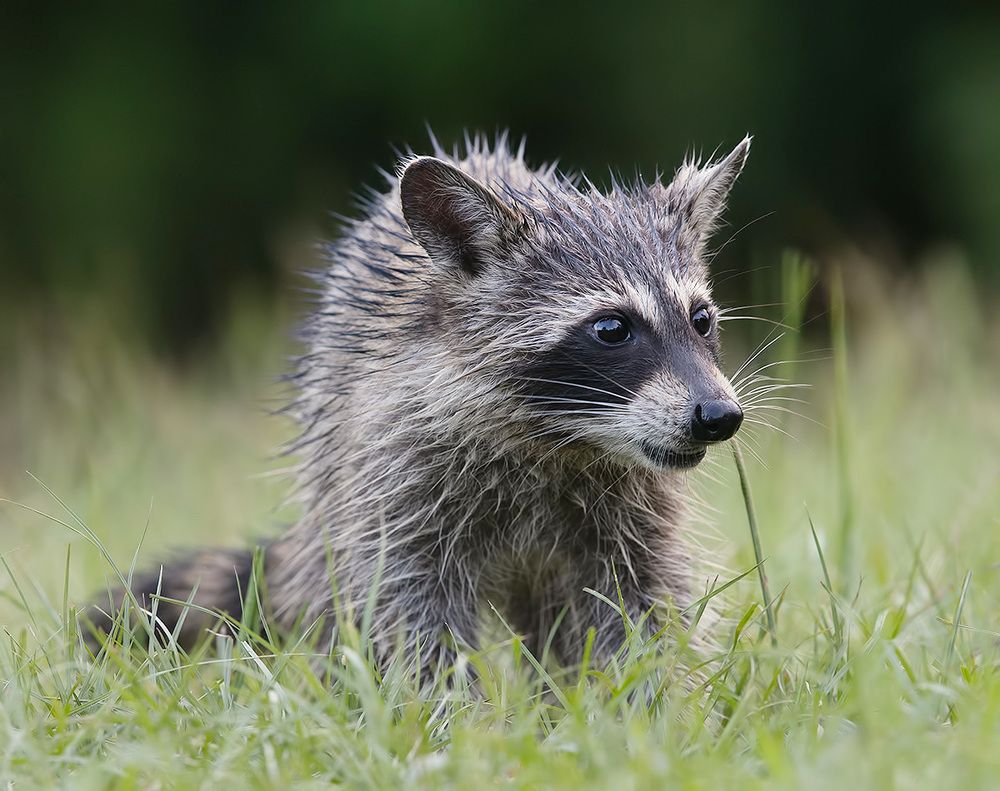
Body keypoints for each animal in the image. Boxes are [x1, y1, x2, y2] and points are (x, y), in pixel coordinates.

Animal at [88, 133, 750, 674]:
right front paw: (453, 722)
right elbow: (405, 607)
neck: (557, 437)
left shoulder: (631, 506)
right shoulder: (396, 469)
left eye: (701, 319)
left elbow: (639, 601)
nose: (719, 417)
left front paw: (640, 712)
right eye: (612, 328)